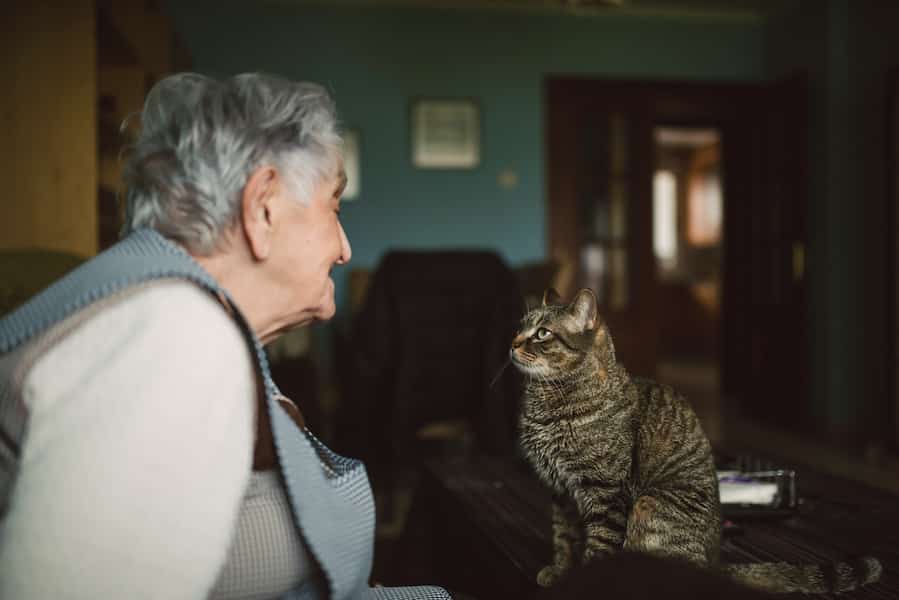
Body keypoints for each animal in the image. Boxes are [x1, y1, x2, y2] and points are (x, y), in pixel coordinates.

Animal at [510, 288, 884, 592]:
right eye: (520, 327)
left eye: (542, 334)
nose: (513, 343)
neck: (548, 401)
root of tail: (713, 565)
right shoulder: (561, 493)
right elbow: (564, 539)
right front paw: (561, 572)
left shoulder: (604, 494)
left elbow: (598, 548)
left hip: (648, 504)